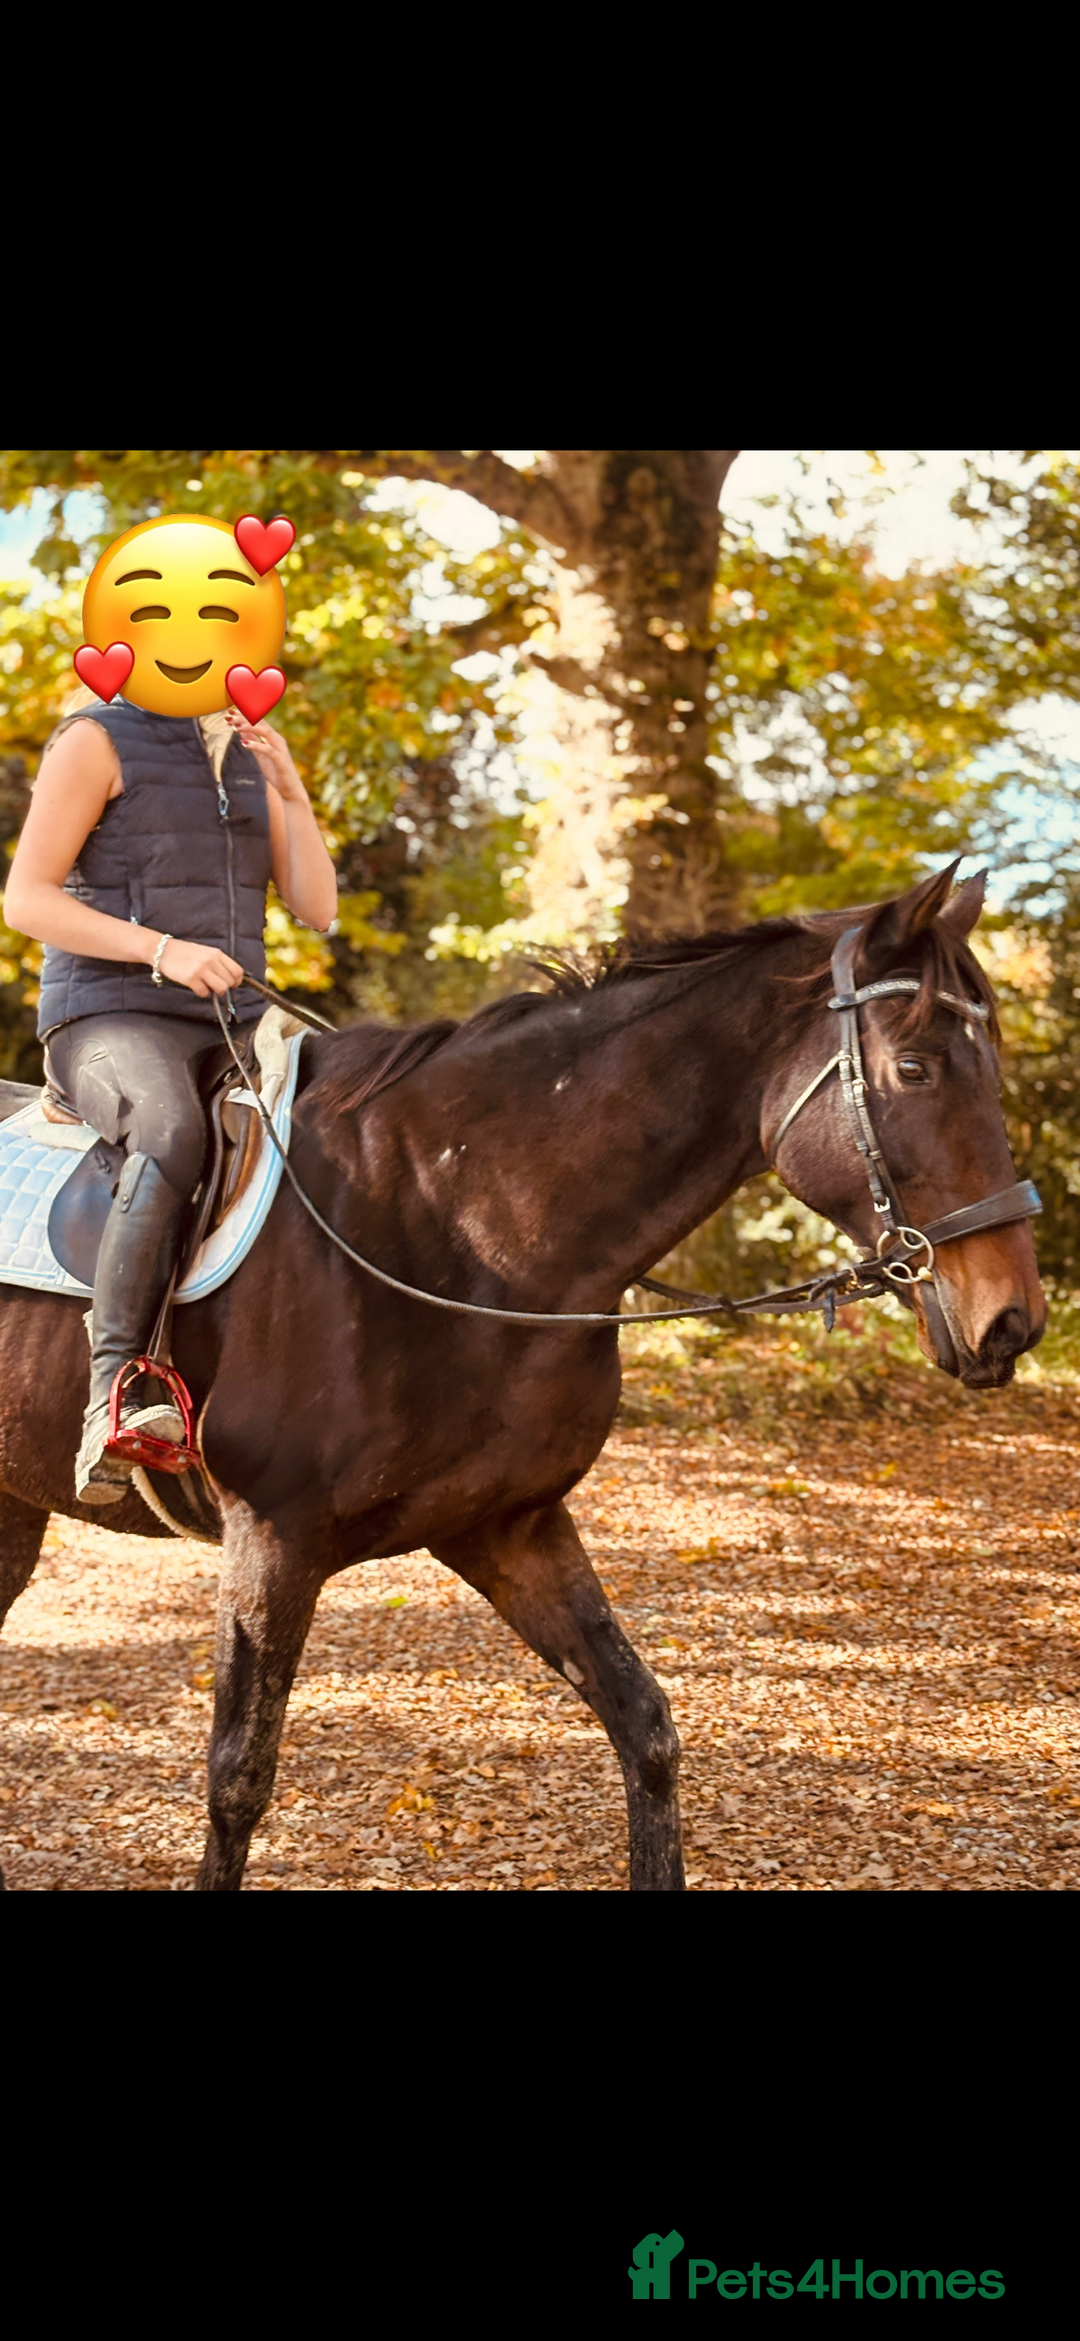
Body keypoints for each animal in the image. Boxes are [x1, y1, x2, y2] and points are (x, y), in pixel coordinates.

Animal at [0, 864, 1046, 1890]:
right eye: (915, 1068)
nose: (1014, 1319)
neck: (455, 1221)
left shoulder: (510, 1526)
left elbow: (646, 1727)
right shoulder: (271, 1539)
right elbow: (238, 1781)